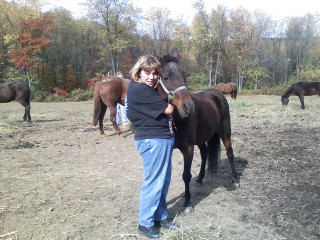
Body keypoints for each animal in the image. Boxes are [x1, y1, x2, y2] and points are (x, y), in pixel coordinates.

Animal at [156, 49, 239, 212]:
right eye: (165, 77)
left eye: (185, 75)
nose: (189, 107)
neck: (176, 119)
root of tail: (218, 94)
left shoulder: (188, 148)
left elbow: (186, 175)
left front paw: (187, 203)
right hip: (201, 138)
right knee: (205, 153)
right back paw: (200, 179)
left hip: (225, 133)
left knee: (230, 153)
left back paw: (234, 179)